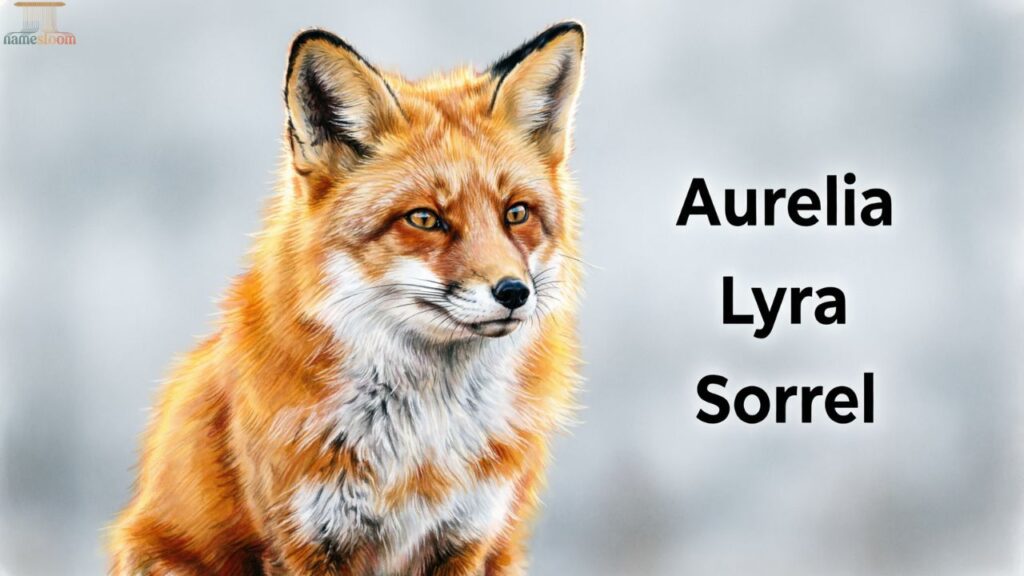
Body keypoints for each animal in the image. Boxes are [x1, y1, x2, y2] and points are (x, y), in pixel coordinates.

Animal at [109, 20, 585, 576]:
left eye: (516, 213)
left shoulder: (467, 536)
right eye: (425, 218)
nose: (513, 292)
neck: (420, 446)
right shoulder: (303, 538)